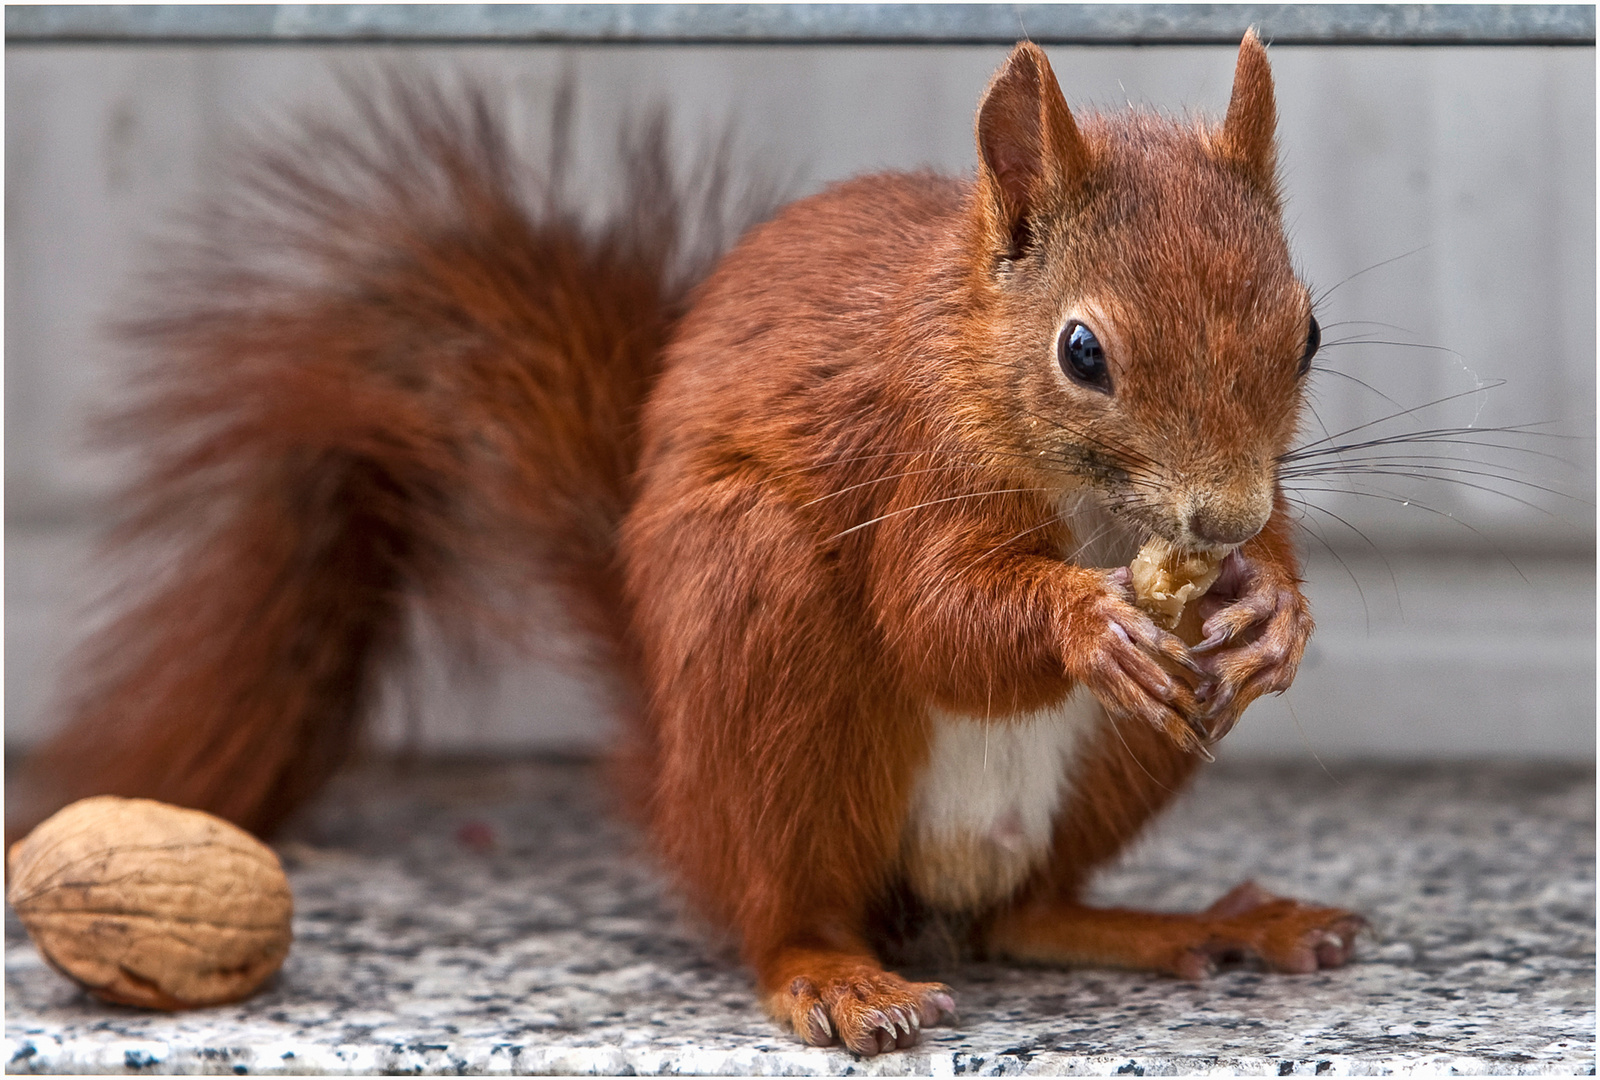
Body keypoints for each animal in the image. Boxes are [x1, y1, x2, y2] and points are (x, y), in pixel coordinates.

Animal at [18, 36, 1356, 1056]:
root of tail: (675, 782)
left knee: (1019, 918)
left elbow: (1274, 568)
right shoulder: (907, 462)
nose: (1220, 520)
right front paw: (1093, 622)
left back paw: (1191, 923)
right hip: (756, 626)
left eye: (1307, 332)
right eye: (1083, 353)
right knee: (784, 909)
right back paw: (830, 973)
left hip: (1114, 775)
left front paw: (1275, 616)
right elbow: (936, 619)